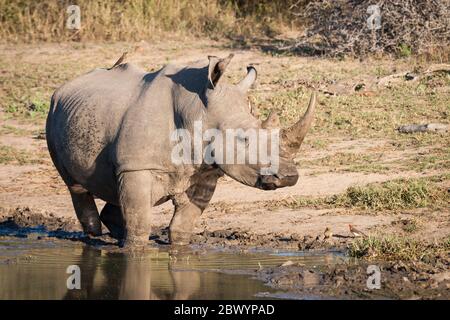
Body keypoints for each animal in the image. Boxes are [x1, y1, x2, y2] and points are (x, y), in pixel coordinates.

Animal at [44, 53, 312, 246]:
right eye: (243, 138)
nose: (289, 177)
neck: (197, 111)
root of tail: (66, 85)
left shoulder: (205, 171)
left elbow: (183, 225)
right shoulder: (137, 167)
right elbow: (140, 224)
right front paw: (134, 249)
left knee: (112, 187)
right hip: (54, 110)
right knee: (75, 186)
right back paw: (95, 236)